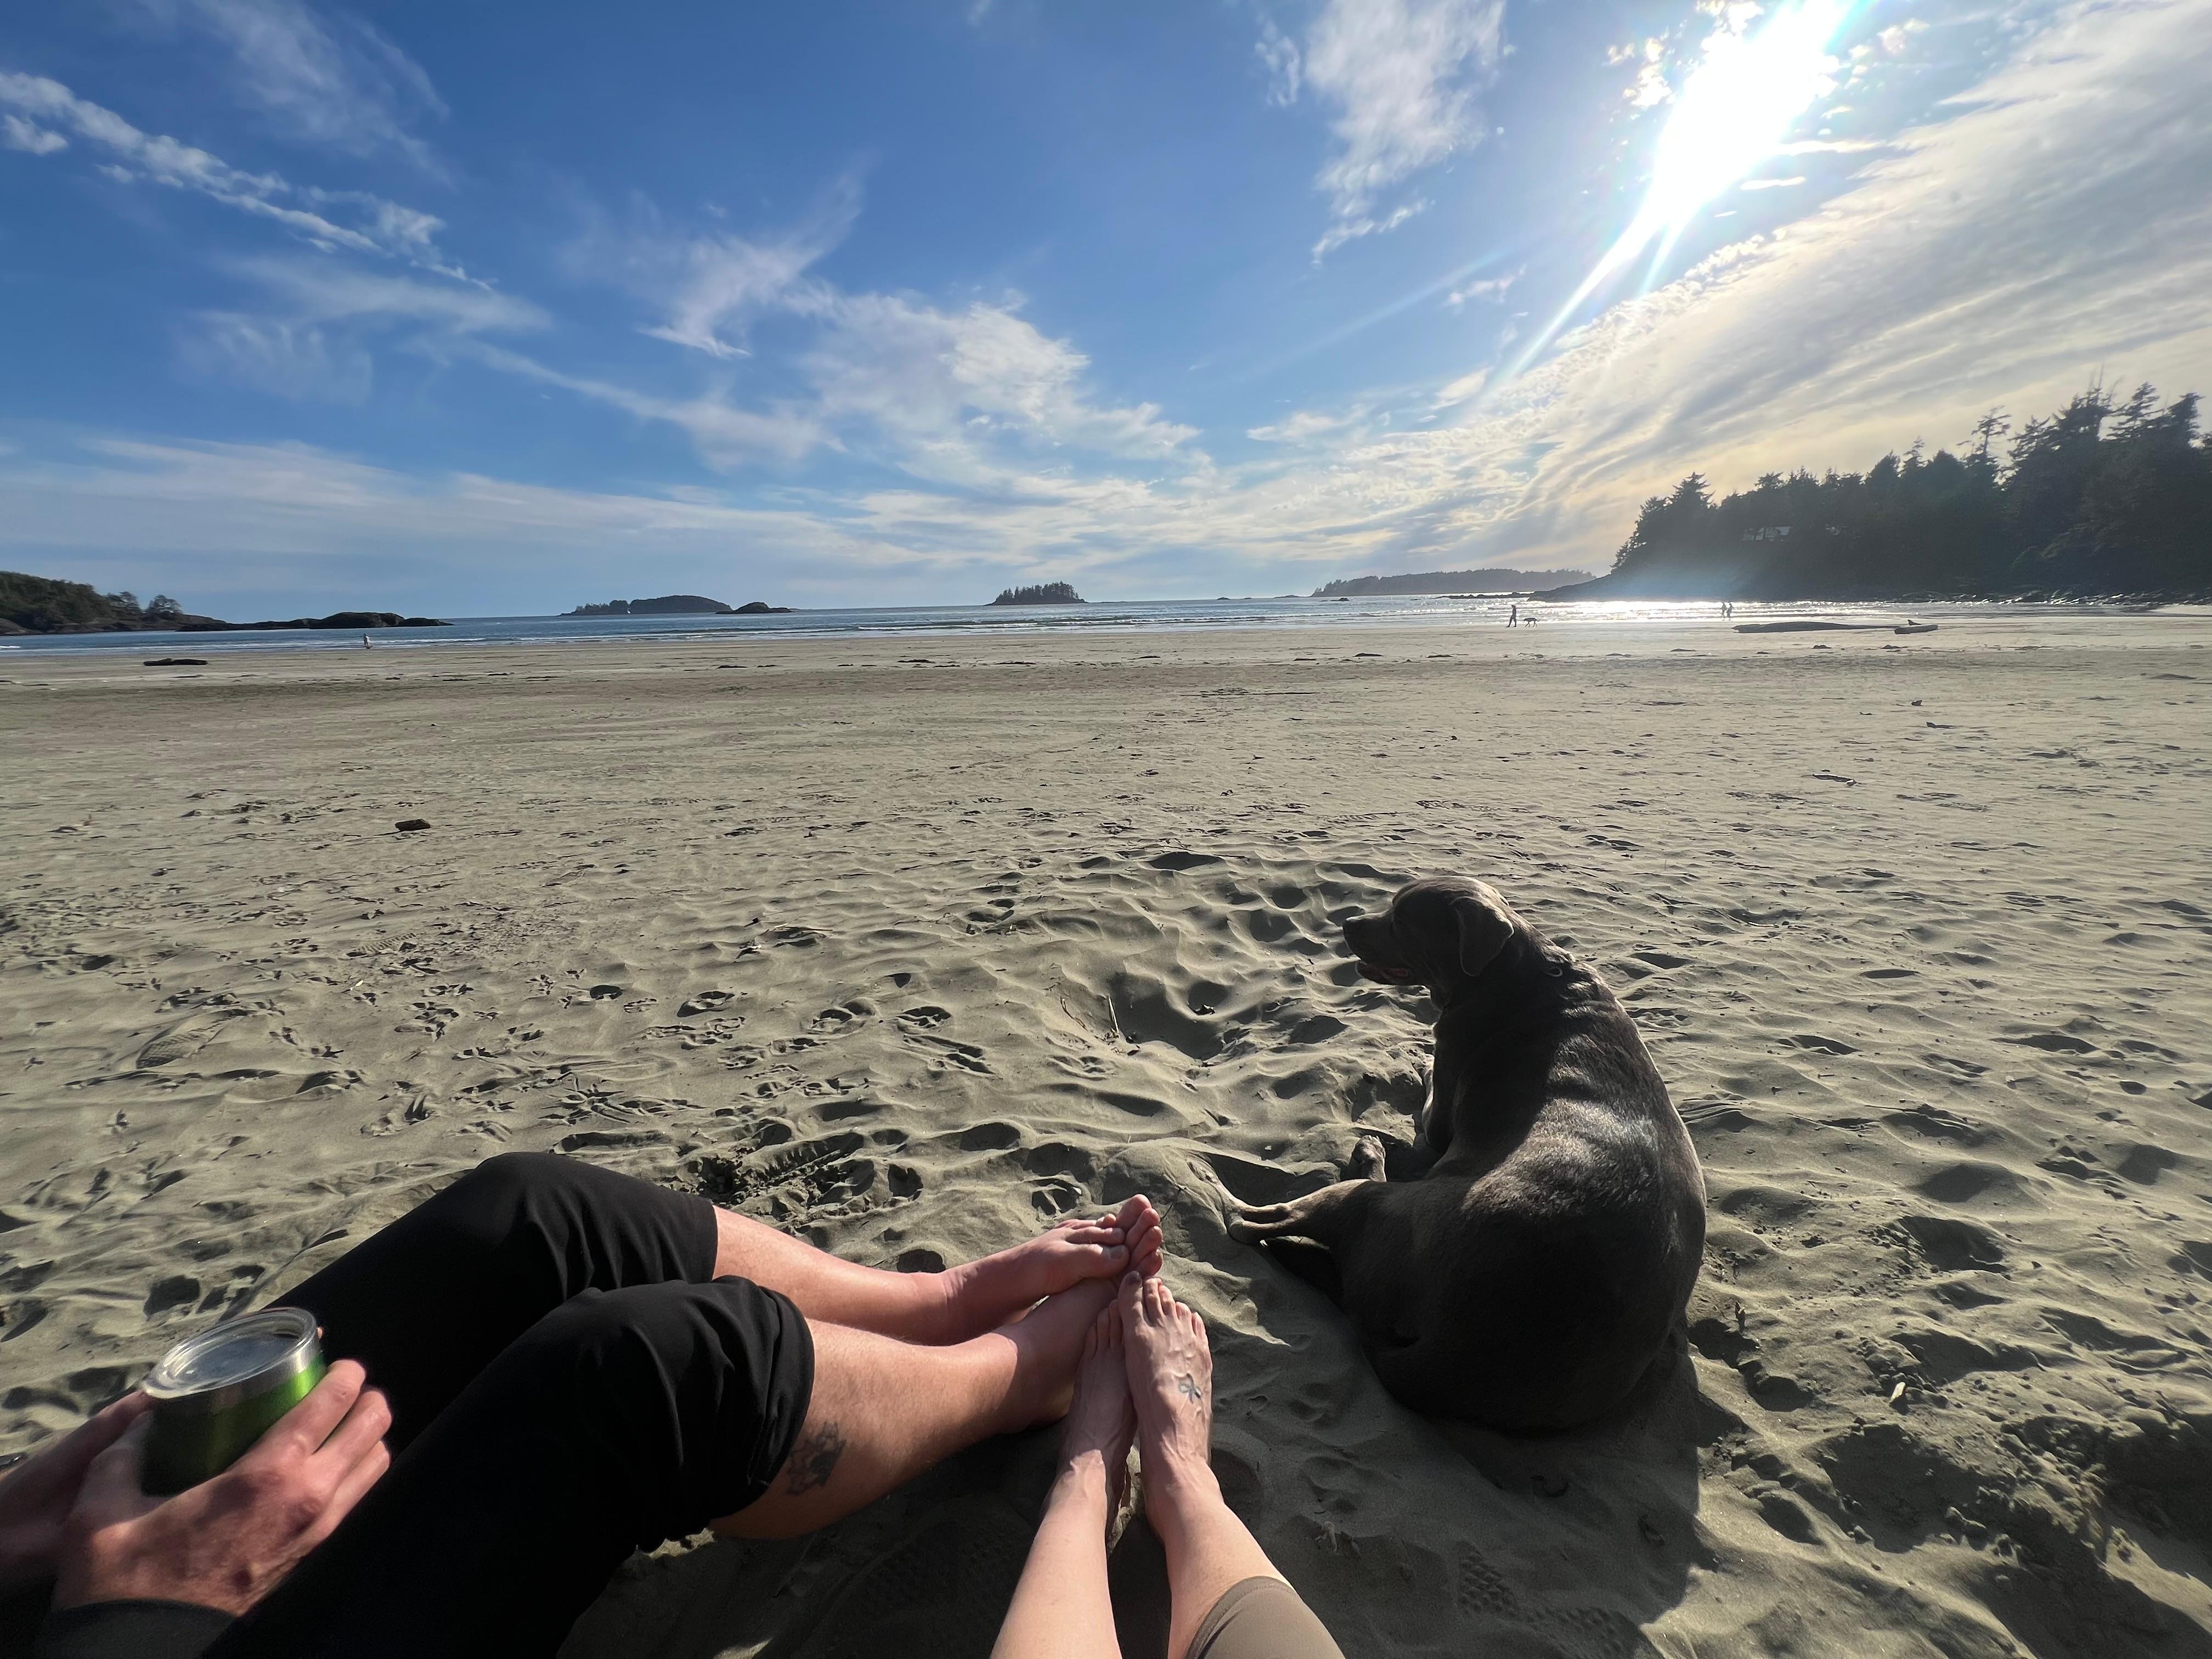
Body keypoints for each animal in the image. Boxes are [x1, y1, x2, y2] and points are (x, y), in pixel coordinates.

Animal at [1229, 876, 1706, 1430]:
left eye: (1403, 921)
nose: (1348, 924)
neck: (1516, 975)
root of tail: (1446, 1356)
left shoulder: (1441, 1105)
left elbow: (1430, 1100)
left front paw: (1415, 1071)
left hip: (1383, 1207)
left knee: (1269, 1221)